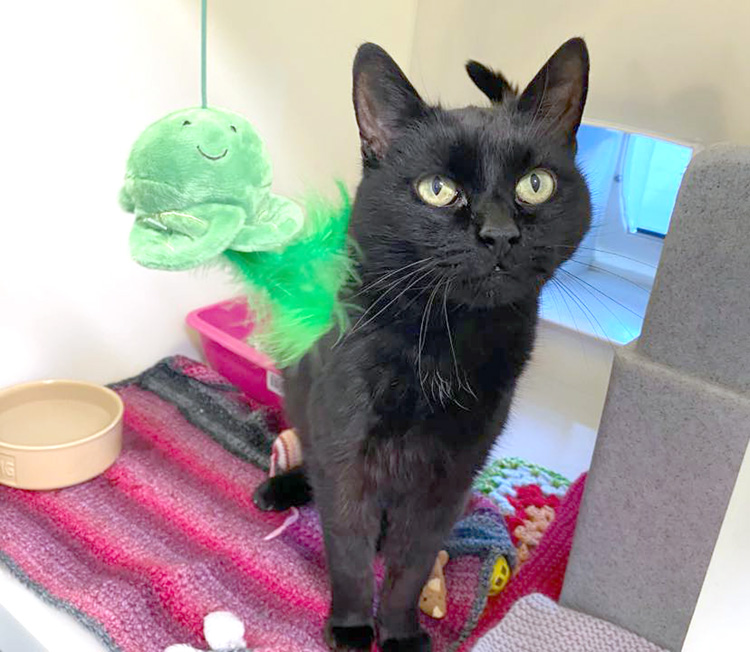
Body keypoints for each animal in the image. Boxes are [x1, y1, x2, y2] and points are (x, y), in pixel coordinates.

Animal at [258, 37, 592, 652]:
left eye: (536, 184)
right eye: (438, 190)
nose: (499, 234)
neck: (441, 340)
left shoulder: (452, 475)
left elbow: (412, 566)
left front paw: (399, 632)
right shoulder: (347, 453)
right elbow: (348, 552)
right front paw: (351, 627)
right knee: (310, 459)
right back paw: (281, 487)